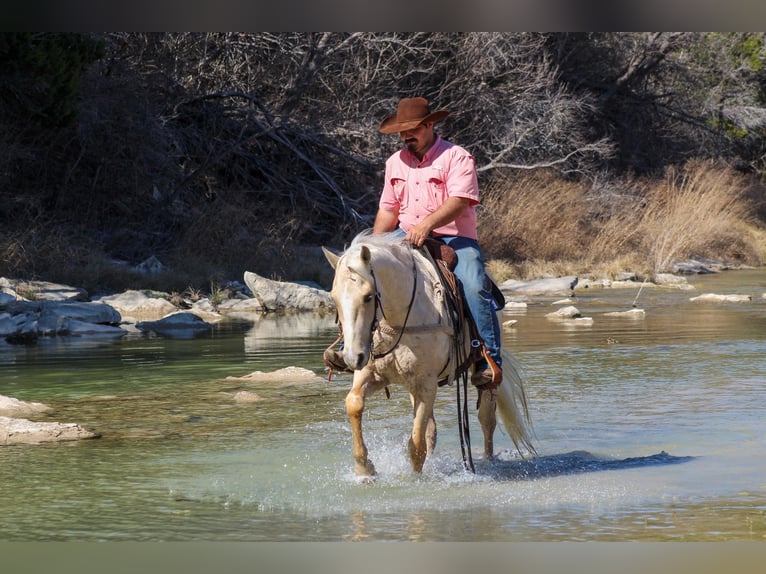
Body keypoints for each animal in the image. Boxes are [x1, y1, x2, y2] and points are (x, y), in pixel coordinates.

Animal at [322, 232, 536, 480]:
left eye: (367, 297)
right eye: (334, 298)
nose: (352, 358)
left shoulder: (426, 383)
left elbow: (416, 444)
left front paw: (415, 479)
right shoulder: (374, 374)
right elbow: (354, 403)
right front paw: (364, 470)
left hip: (484, 376)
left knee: (486, 419)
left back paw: (488, 460)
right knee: (432, 429)